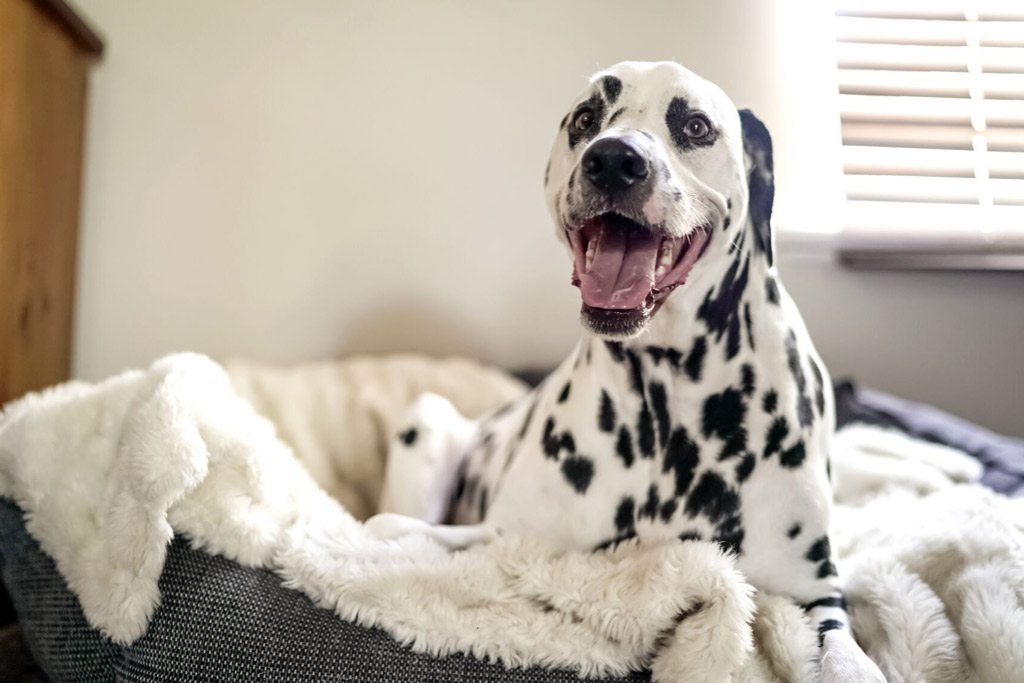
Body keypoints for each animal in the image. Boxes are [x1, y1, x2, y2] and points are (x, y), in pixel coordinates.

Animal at [372, 61, 884, 679]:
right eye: (586, 118)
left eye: (695, 124)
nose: (614, 159)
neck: (667, 405)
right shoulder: (504, 540)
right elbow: (389, 531)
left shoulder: (811, 591)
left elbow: (847, 658)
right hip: (427, 418)